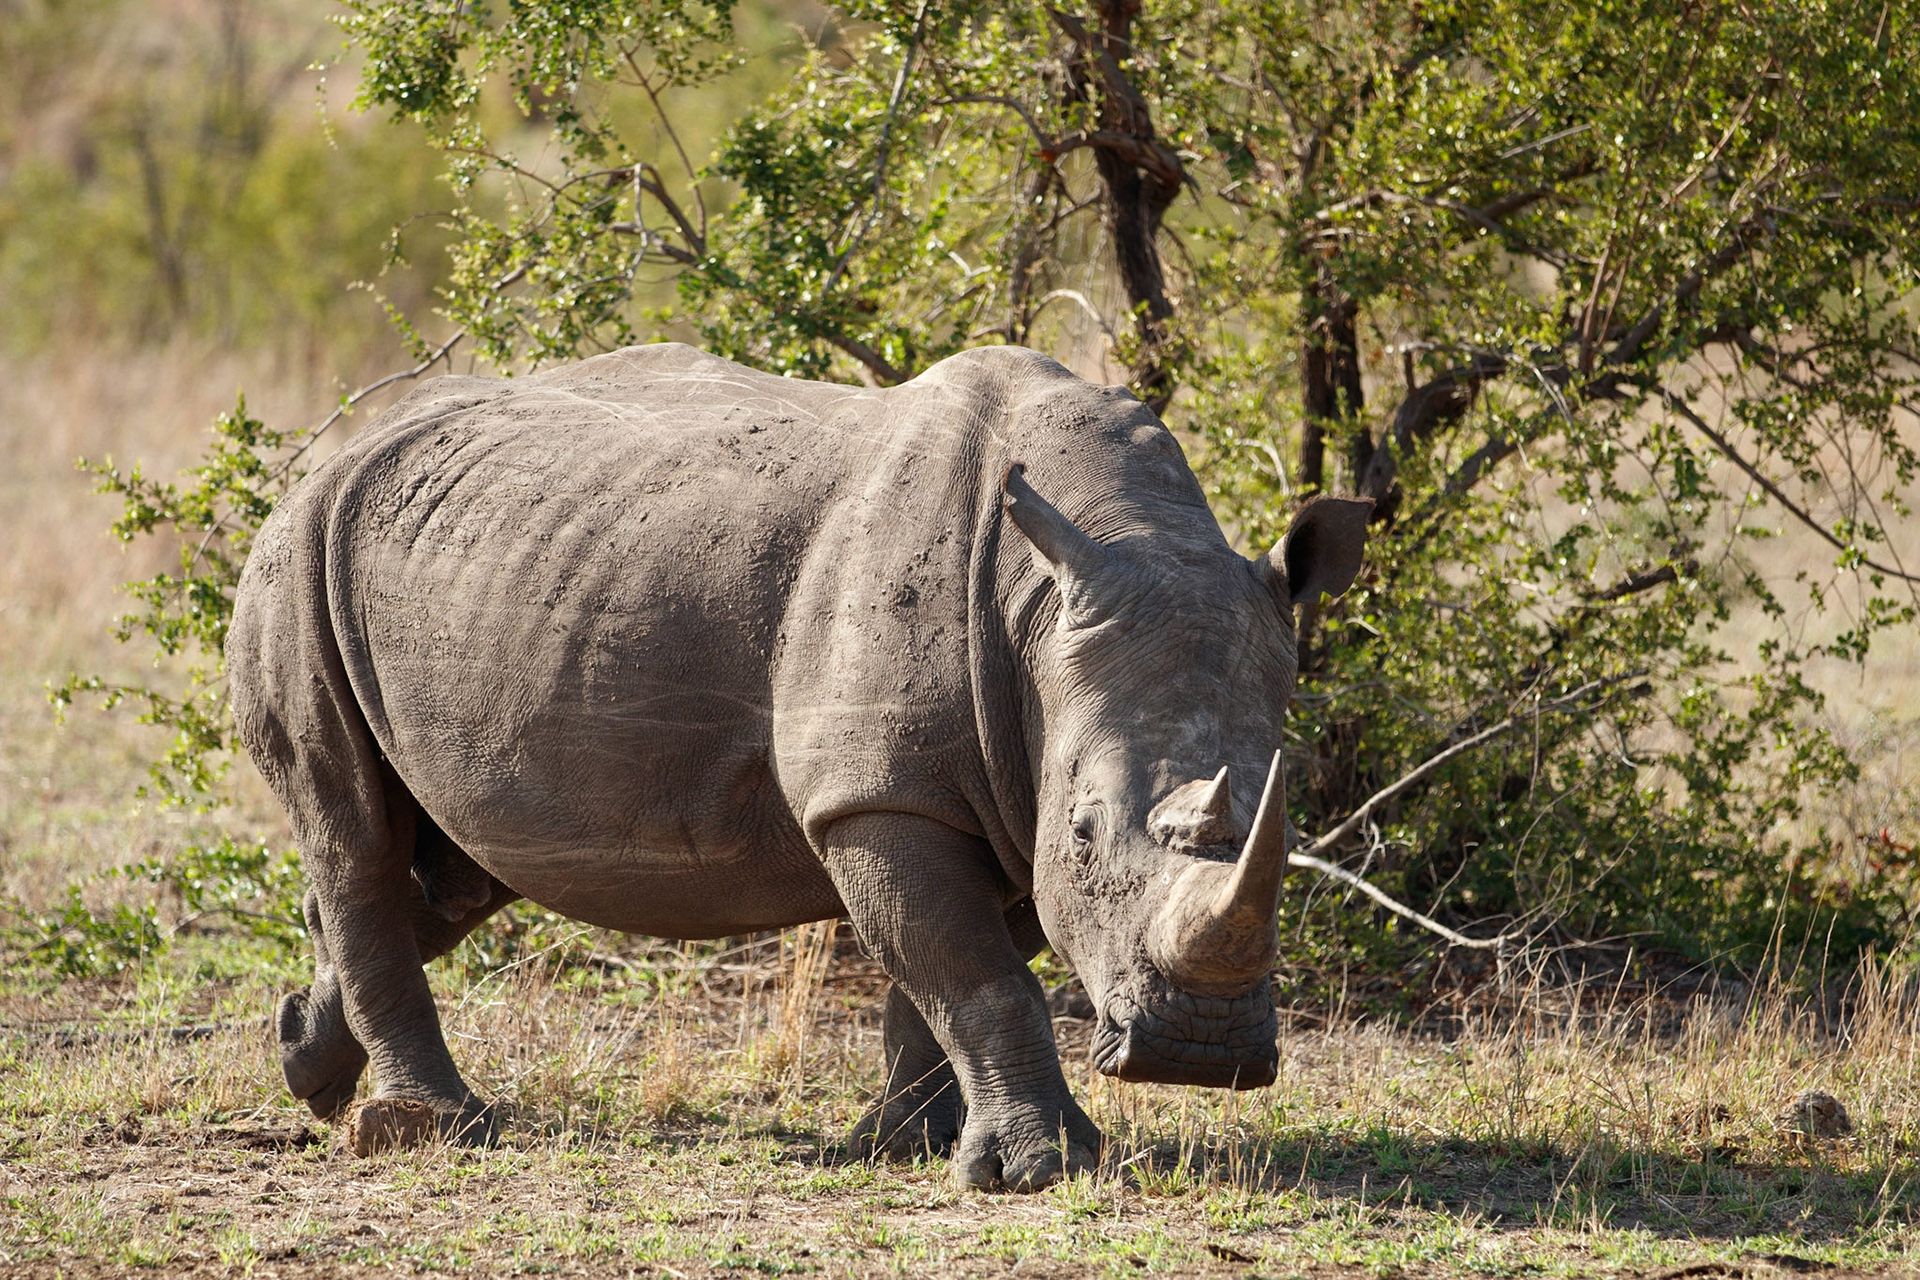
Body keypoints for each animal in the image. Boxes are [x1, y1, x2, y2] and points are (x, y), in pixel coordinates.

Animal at [228, 343, 1369, 1191]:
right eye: (1086, 832)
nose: (1201, 1052)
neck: (1057, 590)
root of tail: (330, 451)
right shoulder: (880, 793)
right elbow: (980, 976)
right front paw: (1040, 1168)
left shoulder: (987, 790)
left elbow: (945, 974)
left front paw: (907, 1144)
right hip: (298, 556)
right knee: (353, 831)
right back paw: (433, 1130)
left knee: (460, 867)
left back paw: (308, 1066)